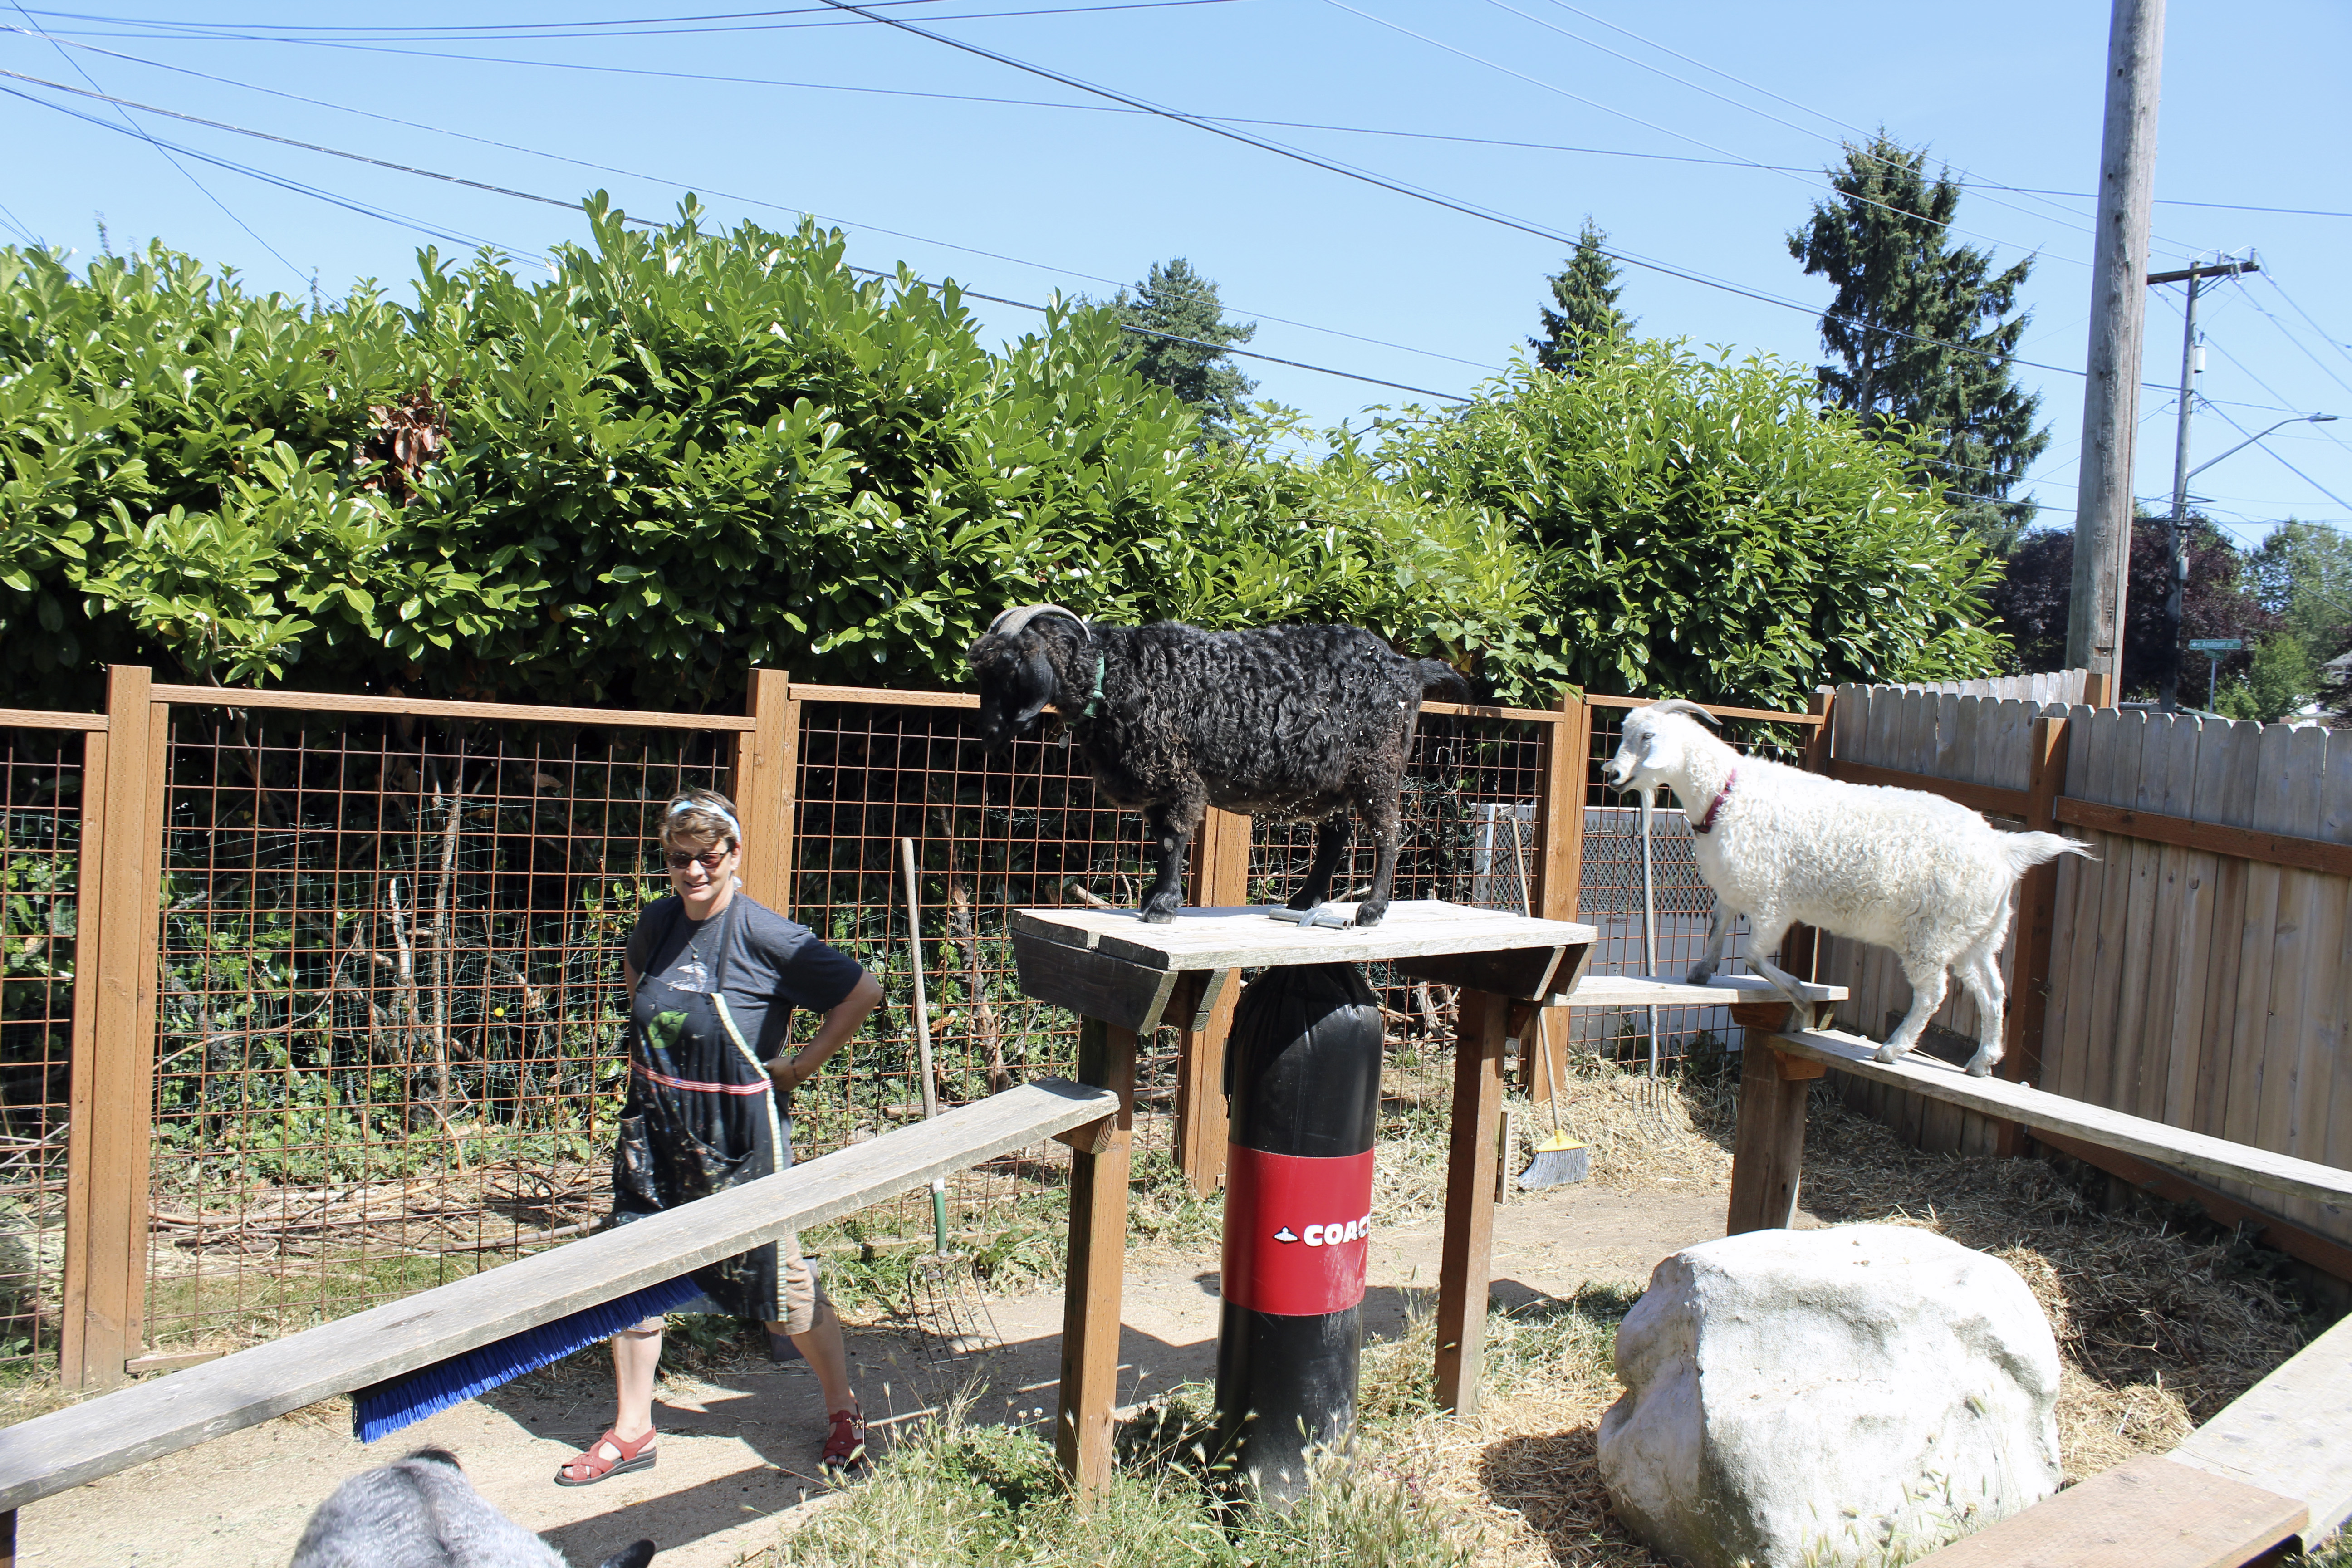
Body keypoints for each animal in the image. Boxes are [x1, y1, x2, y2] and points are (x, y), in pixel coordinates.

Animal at [964, 606, 1458, 926]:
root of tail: (1410, 669)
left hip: (1378, 765)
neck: (1119, 674)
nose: (987, 735)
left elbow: (1172, 837)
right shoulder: (1158, 779)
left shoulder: (1180, 772)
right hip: (1329, 781)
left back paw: (1372, 909)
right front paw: (1153, 897)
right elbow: (1160, 838)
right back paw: (1303, 901)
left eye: (1009, 668)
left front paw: (1162, 906)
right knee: (1338, 834)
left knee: (1389, 832)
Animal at [1608, 701, 2088, 1081]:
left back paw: (1892, 1050)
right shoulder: (1735, 884)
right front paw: (1702, 972)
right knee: (1992, 992)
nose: (1610, 774)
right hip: (1979, 933)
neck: (1725, 795)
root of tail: (2003, 849)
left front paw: (1802, 997)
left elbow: (1754, 958)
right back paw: (1983, 1061)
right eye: (1624, 733)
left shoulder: (1772, 900)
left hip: (1931, 934)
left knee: (1933, 993)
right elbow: (1717, 926)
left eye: (1647, 736)